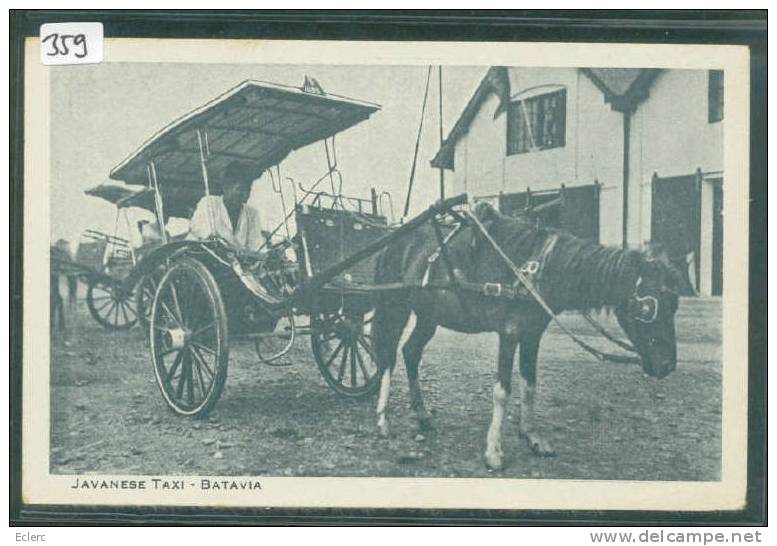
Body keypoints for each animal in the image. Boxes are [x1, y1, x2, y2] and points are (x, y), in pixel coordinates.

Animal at [372, 202, 680, 470]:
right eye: (649, 306)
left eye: (675, 303)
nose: (667, 366)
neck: (534, 269)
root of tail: (392, 241)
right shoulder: (509, 334)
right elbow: (502, 392)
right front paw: (494, 451)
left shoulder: (533, 335)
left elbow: (530, 385)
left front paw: (531, 436)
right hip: (395, 308)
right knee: (387, 357)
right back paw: (383, 421)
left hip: (429, 316)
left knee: (411, 352)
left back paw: (422, 415)